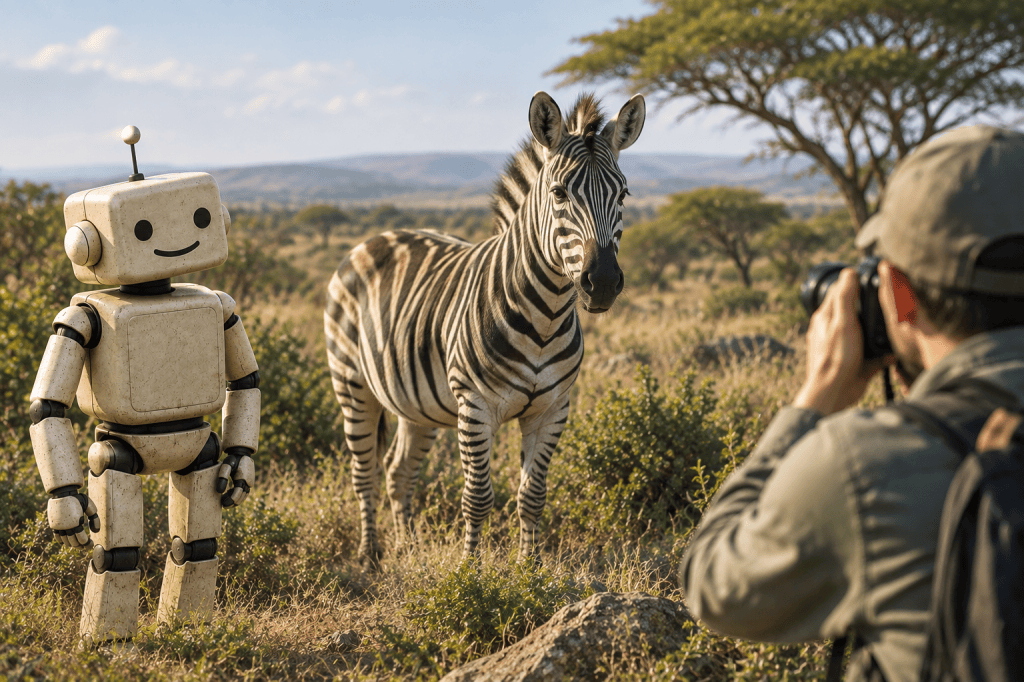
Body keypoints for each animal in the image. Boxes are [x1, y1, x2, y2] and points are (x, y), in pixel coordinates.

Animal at [324, 91, 645, 568]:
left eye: (622, 194)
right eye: (559, 193)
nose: (602, 281)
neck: (546, 316)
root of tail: (375, 238)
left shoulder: (553, 409)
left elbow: (532, 495)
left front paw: (530, 569)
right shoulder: (475, 406)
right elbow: (477, 498)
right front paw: (470, 572)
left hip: (415, 404)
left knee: (399, 470)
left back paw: (407, 547)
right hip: (351, 382)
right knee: (364, 473)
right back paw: (370, 554)